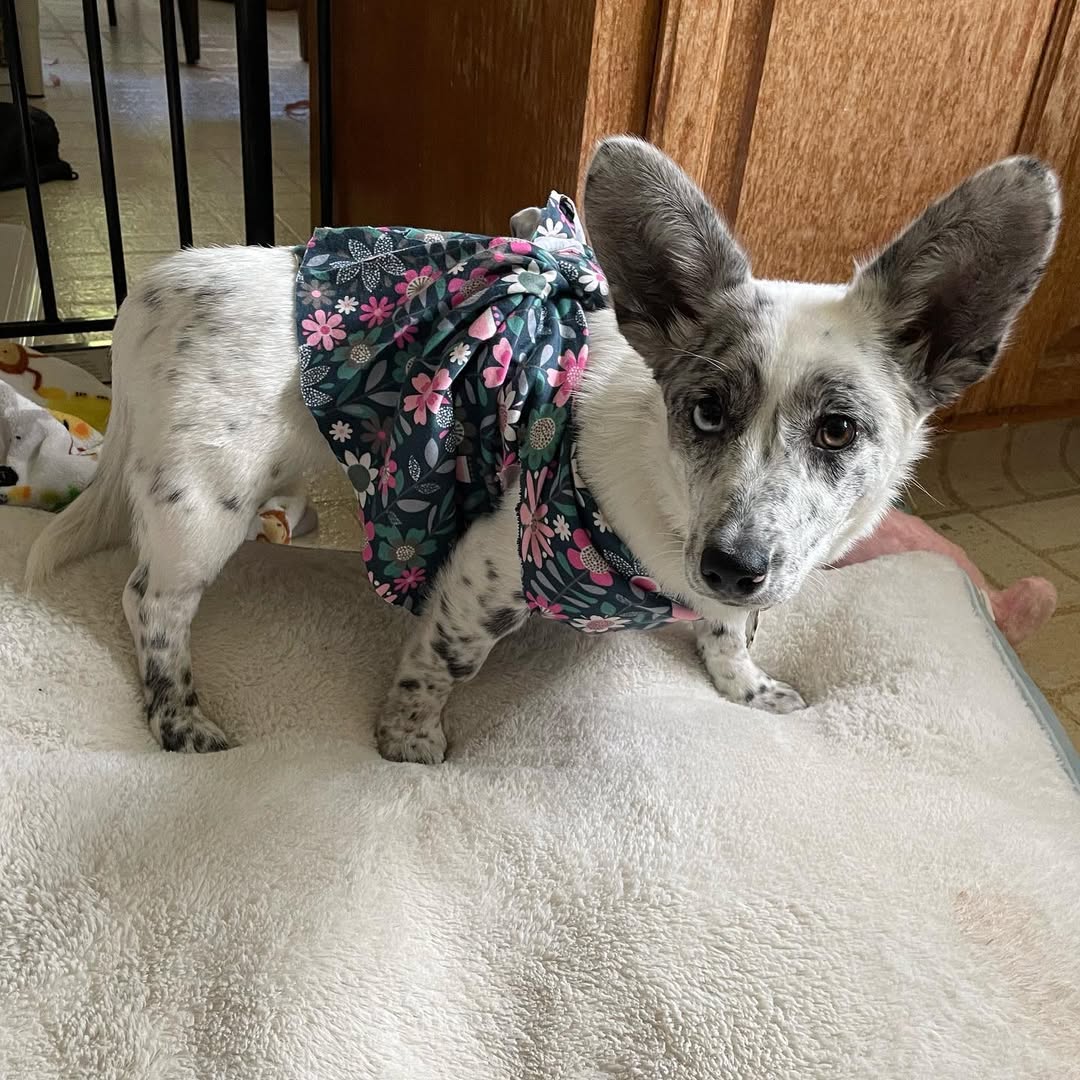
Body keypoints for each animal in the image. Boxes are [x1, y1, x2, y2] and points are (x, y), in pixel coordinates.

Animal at [27, 137, 1062, 760]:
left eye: (838, 431)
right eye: (707, 411)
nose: (733, 566)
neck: (667, 520)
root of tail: (151, 285)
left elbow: (729, 637)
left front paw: (745, 685)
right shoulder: (485, 567)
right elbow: (438, 665)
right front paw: (409, 745)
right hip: (202, 510)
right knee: (149, 604)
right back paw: (179, 715)